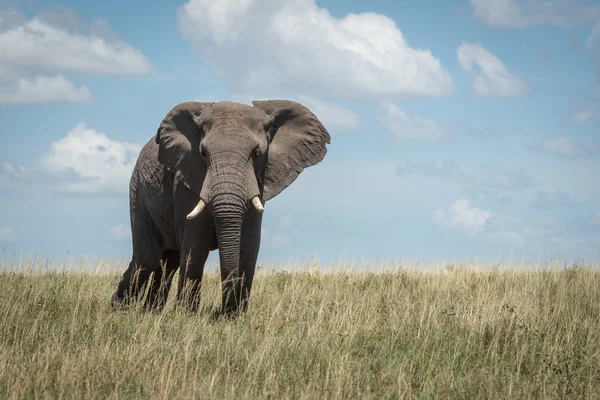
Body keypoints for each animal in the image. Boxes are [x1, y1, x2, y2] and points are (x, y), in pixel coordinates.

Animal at [110, 98, 330, 314]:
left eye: (257, 153)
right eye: (203, 154)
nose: (224, 310)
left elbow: (249, 245)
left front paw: (234, 316)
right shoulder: (186, 179)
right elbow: (196, 245)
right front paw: (186, 315)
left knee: (168, 260)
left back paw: (151, 311)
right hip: (138, 190)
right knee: (147, 257)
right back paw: (120, 308)